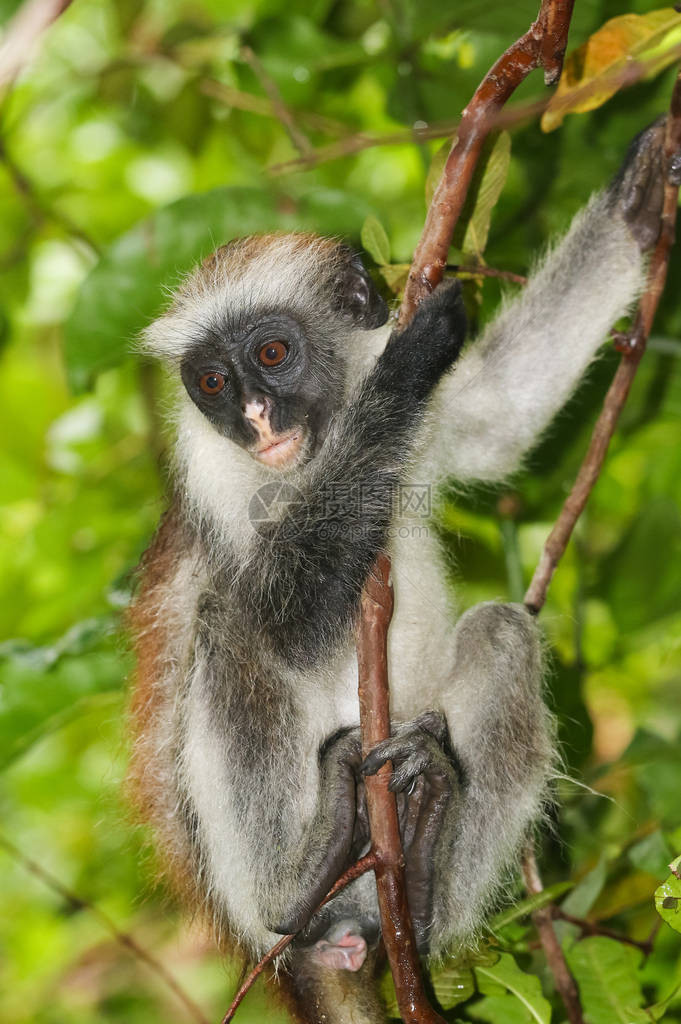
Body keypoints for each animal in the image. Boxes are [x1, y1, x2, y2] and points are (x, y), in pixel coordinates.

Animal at [129, 121, 667, 1024]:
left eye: (271, 352)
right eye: (211, 382)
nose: (253, 419)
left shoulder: (433, 423)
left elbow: (497, 420)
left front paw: (638, 195)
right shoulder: (222, 482)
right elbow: (287, 619)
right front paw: (407, 361)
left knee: (502, 633)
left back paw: (419, 878)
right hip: (247, 883)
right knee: (231, 622)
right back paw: (302, 878)